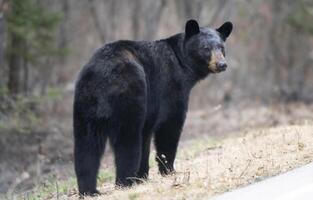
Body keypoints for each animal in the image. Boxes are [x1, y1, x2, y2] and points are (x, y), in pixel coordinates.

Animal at [73, 19, 232, 195]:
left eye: (221, 47)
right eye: (206, 48)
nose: (221, 64)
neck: (182, 63)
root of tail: (103, 76)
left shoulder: (151, 109)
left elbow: (146, 137)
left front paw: (143, 176)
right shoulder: (169, 89)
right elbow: (169, 128)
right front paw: (168, 170)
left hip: (85, 104)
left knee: (86, 146)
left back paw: (89, 190)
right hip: (130, 95)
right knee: (127, 141)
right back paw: (125, 182)